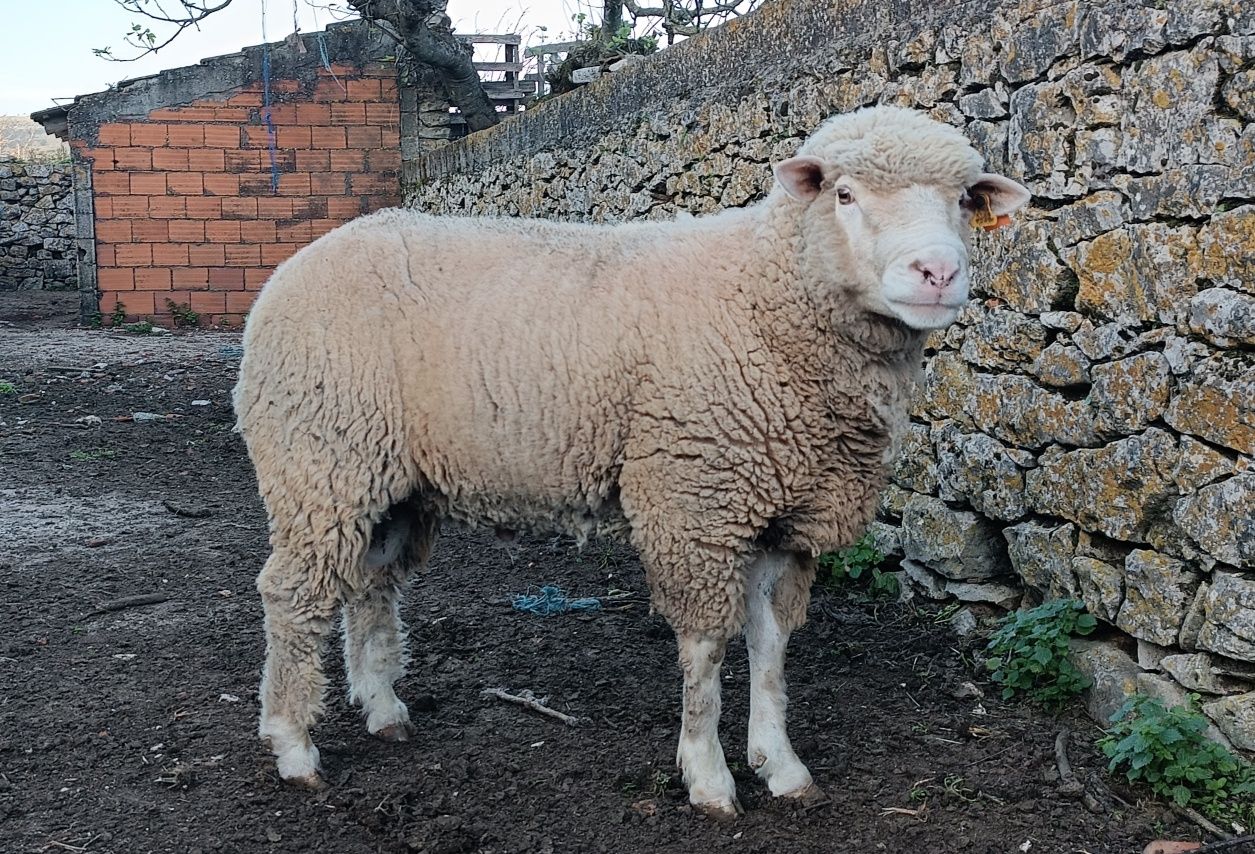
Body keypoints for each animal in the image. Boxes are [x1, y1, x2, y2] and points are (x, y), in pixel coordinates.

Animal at [233, 104, 1029, 813]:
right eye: (844, 194)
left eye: (964, 200)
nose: (937, 272)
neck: (771, 296)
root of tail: (292, 268)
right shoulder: (696, 499)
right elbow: (707, 650)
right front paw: (708, 778)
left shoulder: (787, 513)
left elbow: (770, 649)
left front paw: (780, 765)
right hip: (320, 457)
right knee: (291, 593)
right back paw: (293, 745)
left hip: (387, 480)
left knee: (369, 585)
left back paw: (384, 710)